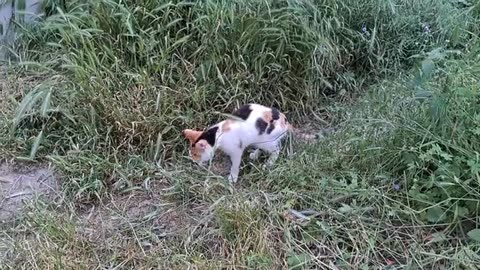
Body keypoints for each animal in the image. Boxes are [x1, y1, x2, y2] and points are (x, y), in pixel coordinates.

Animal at [182, 103, 316, 184]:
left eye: (196, 155)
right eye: (192, 154)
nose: (193, 162)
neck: (217, 134)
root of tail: (285, 121)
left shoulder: (236, 151)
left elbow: (235, 165)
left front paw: (232, 178)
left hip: (267, 140)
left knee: (276, 150)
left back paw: (268, 163)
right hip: (259, 140)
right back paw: (255, 154)